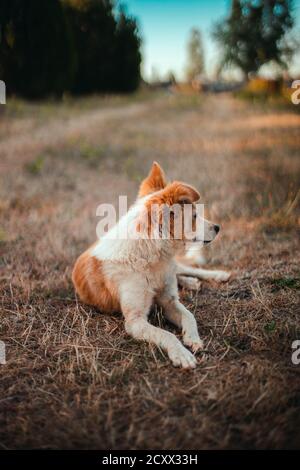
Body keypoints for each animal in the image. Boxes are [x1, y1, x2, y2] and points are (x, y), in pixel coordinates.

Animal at [72, 163, 230, 370]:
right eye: (195, 216)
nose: (218, 227)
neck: (150, 258)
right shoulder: (135, 320)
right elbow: (167, 334)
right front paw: (181, 354)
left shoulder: (169, 300)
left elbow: (189, 316)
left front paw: (193, 339)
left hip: (176, 269)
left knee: (185, 268)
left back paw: (214, 276)